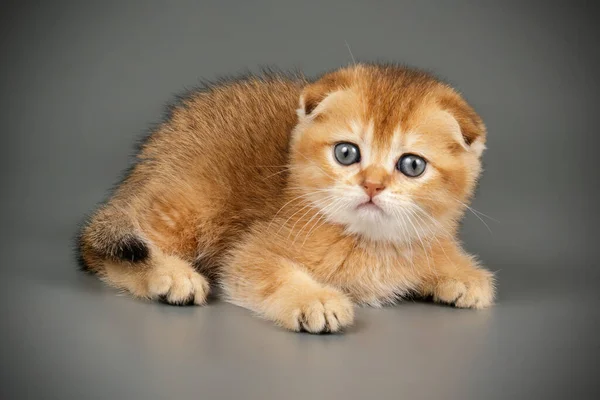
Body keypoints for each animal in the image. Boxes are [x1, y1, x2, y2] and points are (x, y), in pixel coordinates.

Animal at [77, 64, 494, 332]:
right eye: (347, 153)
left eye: (412, 165)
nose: (373, 186)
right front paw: (316, 300)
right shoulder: (249, 251)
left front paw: (463, 275)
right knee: (99, 248)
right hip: (191, 203)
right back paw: (172, 276)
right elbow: (272, 273)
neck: (372, 244)